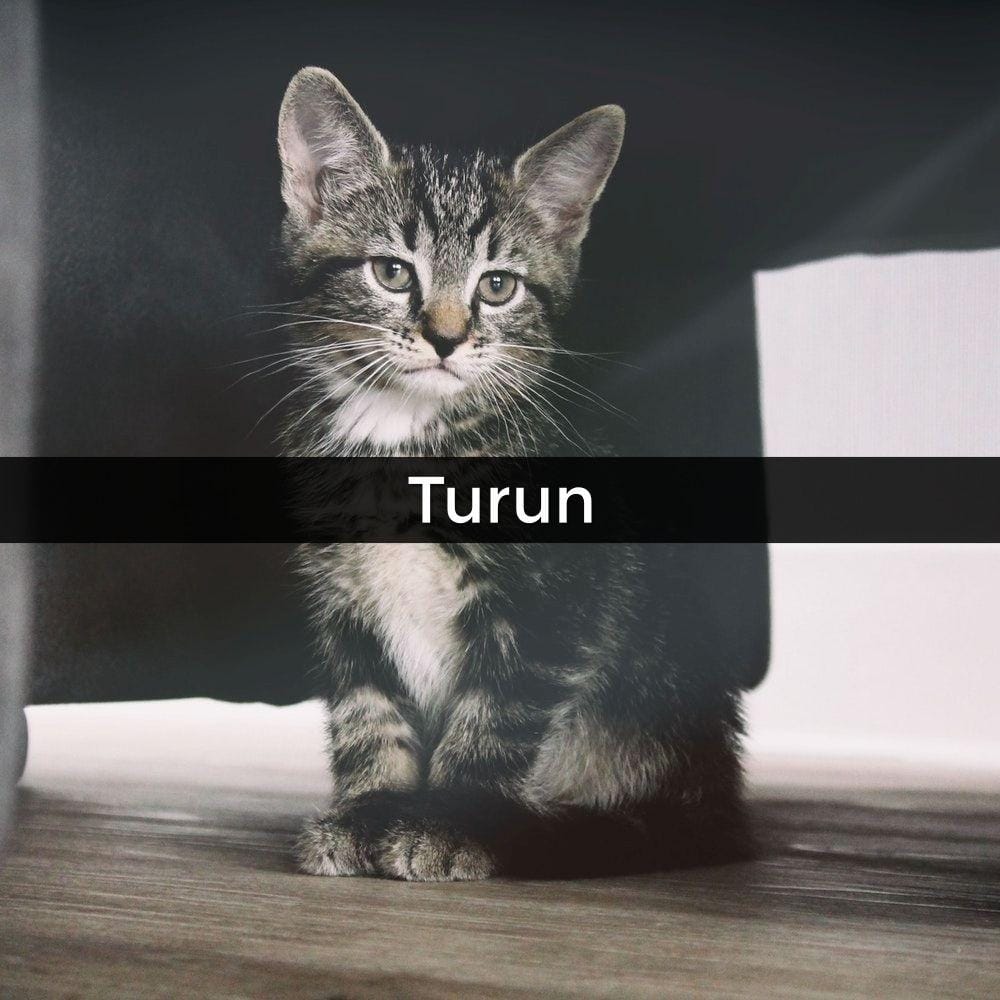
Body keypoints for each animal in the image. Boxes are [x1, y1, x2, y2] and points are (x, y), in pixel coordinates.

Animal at [277, 67, 750, 880]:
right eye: (391, 272)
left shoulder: (550, 602)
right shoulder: (342, 602)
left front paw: (453, 822)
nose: (445, 337)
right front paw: (370, 808)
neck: (410, 440)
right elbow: (367, 714)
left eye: (498, 286)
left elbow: (493, 721)